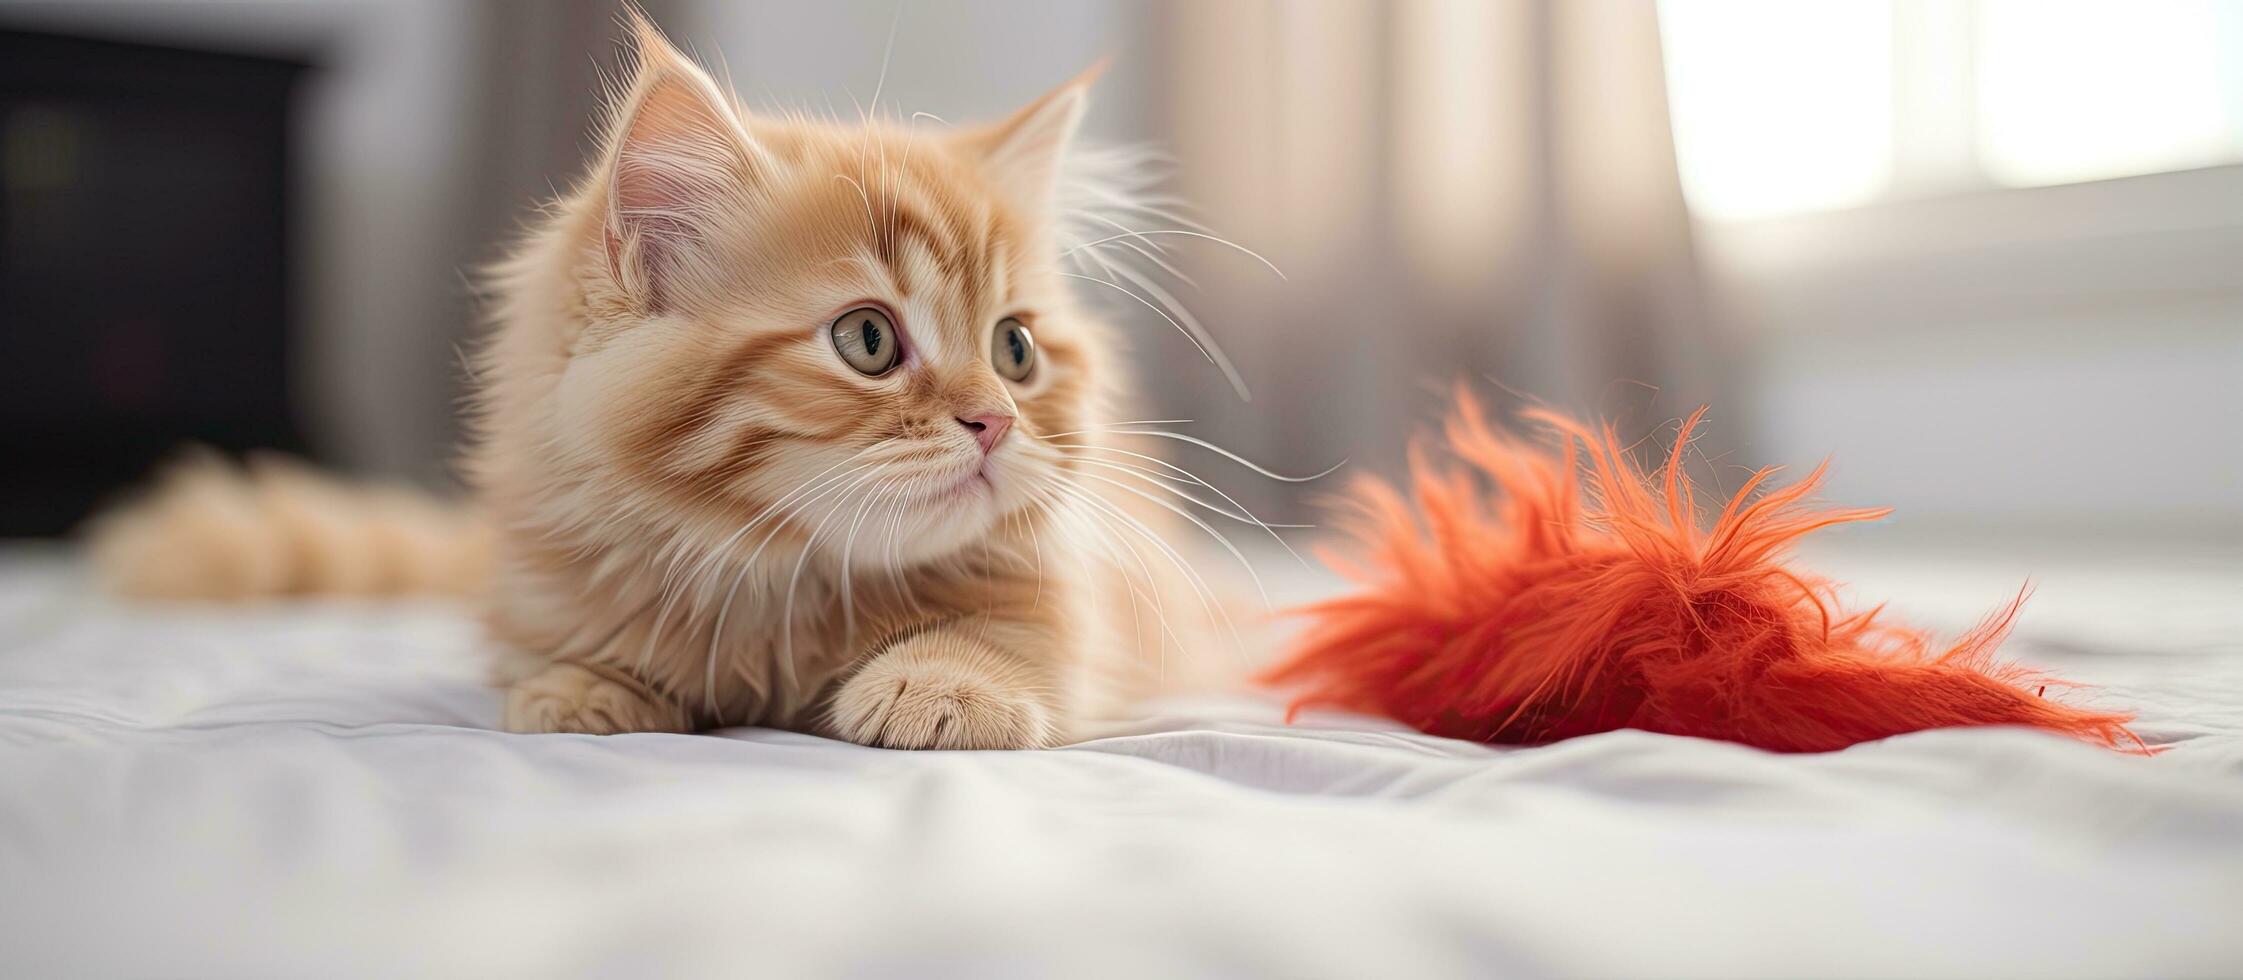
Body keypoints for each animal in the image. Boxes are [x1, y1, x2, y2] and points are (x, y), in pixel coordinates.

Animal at [91, 13, 1247, 749]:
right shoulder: (542, 585)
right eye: (868, 340)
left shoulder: (1082, 601)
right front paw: (582, 686)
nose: (994, 421)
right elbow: (561, 651)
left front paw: (943, 682)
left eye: (1014, 352)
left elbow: (1010, 634)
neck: (779, 585)